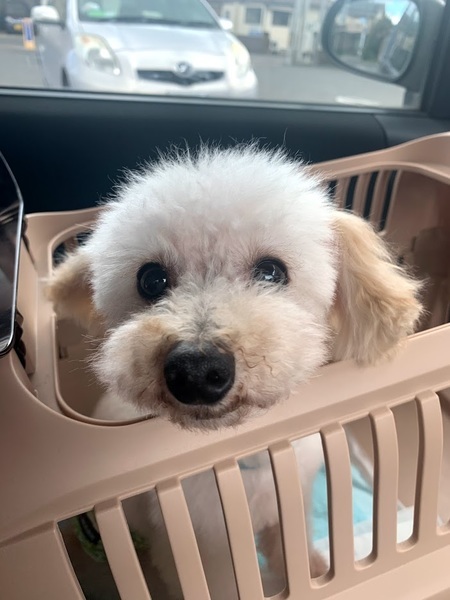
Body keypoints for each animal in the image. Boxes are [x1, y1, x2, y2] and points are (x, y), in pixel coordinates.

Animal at [47, 145, 422, 598]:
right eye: (151, 280)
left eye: (271, 271)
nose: (196, 370)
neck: (246, 459)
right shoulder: (199, 550)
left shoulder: (291, 499)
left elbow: (291, 545)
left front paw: (314, 570)